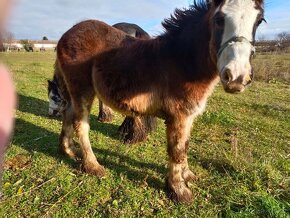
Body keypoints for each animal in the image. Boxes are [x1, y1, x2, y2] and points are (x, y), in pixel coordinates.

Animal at [55, 0, 266, 204]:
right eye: (219, 19)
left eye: (259, 21)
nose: (237, 77)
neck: (182, 60)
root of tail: (68, 33)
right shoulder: (179, 116)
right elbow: (177, 150)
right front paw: (179, 190)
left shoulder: (189, 115)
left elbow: (185, 145)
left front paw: (187, 175)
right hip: (82, 89)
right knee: (81, 124)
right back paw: (93, 166)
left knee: (68, 113)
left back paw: (68, 150)